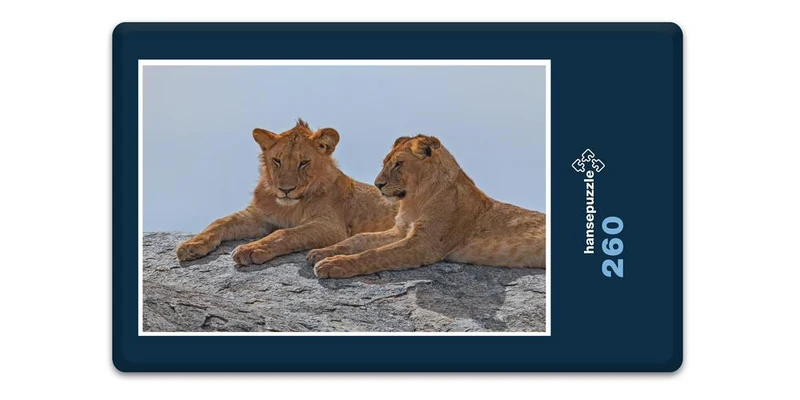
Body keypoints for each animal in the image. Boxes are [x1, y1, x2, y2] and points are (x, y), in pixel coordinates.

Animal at [176, 119, 398, 266]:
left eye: (303, 163)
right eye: (277, 161)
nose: (285, 190)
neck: (288, 207)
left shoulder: (332, 226)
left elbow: (285, 233)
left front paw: (251, 249)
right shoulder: (258, 216)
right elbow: (220, 222)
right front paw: (191, 245)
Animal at [307, 134, 546, 278]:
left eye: (399, 164)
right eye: (384, 163)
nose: (377, 184)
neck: (415, 200)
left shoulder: (424, 244)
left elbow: (375, 254)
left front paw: (334, 265)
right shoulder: (400, 230)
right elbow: (359, 239)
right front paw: (321, 252)